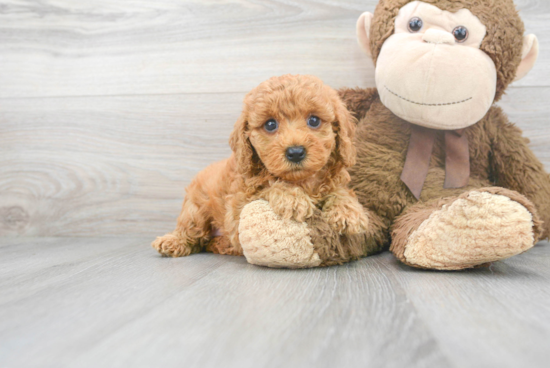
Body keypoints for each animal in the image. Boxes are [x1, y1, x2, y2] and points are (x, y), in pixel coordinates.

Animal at [153, 74, 370, 258]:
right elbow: (267, 186)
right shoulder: (238, 209)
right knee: (191, 231)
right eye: (270, 125)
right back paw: (172, 242)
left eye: (314, 120)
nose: (295, 152)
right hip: (195, 208)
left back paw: (220, 245)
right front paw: (292, 198)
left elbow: (339, 191)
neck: (302, 181)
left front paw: (348, 211)